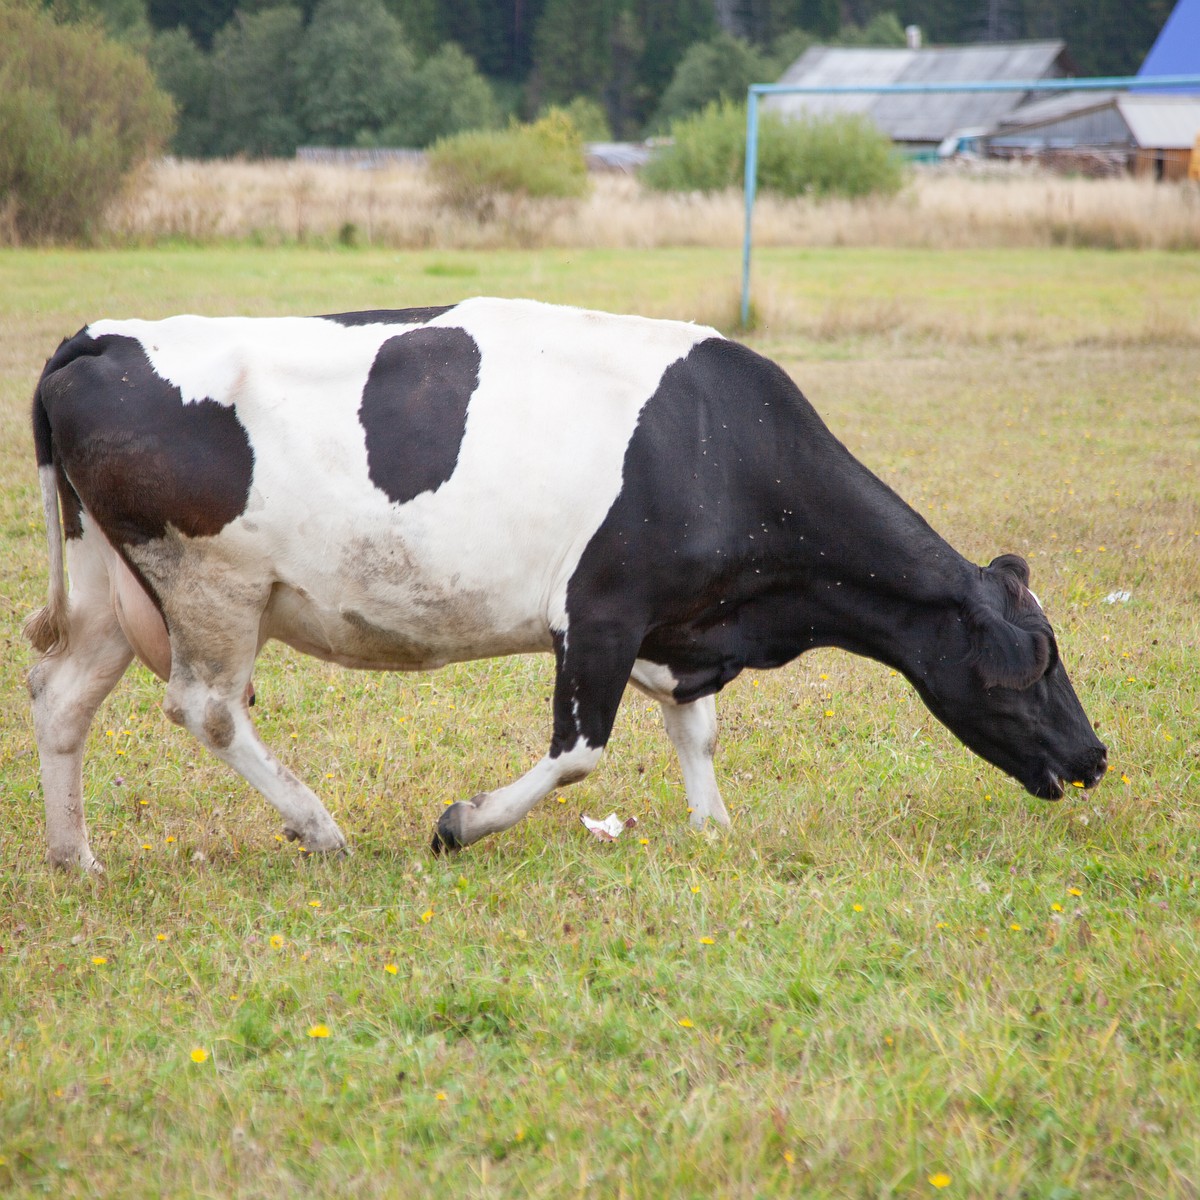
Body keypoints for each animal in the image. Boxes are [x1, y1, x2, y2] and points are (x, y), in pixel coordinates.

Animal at [25, 295, 1104, 868]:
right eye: (1036, 663)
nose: (1094, 755)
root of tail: (102, 333)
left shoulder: (675, 624)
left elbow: (695, 732)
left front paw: (714, 830)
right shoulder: (602, 610)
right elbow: (580, 751)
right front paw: (460, 824)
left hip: (113, 585)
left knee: (60, 695)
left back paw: (77, 858)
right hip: (212, 581)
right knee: (207, 708)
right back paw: (320, 827)